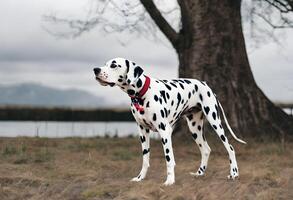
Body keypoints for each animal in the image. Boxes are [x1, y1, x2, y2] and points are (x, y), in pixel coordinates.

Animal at [92, 57, 245, 186]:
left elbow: (169, 158)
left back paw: (234, 173)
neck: (142, 93)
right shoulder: (142, 132)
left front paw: (170, 181)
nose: (95, 70)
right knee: (206, 149)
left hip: (214, 121)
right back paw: (199, 173)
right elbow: (145, 159)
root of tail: (206, 85)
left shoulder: (164, 131)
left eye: (114, 65)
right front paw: (140, 177)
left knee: (230, 147)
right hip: (194, 128)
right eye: (105, 64)